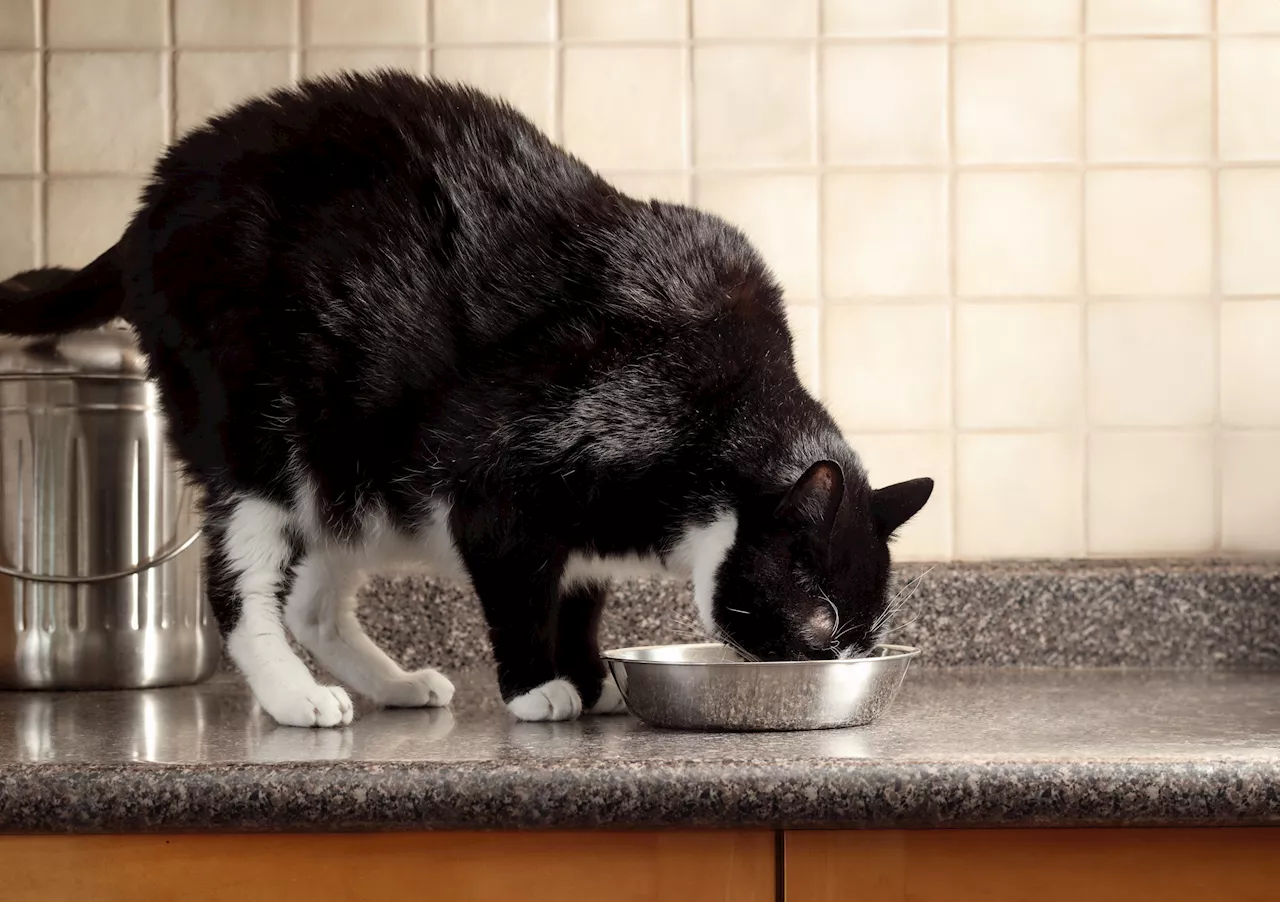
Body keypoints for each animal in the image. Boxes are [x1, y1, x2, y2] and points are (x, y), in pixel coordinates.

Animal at [0, 73, 931, 726]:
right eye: (819, 623)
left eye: (864, 638)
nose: (822, 670)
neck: (710, 416)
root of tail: (145, 213)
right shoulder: (502, 480)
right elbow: (522, 590)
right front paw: (537, 688)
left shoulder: (587, 529)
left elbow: (578, 593)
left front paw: (586, 673)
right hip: (261, 433)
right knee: (241, 586)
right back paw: (297, 699)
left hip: (350, 467)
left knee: (311, 597)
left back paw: (393, 683)